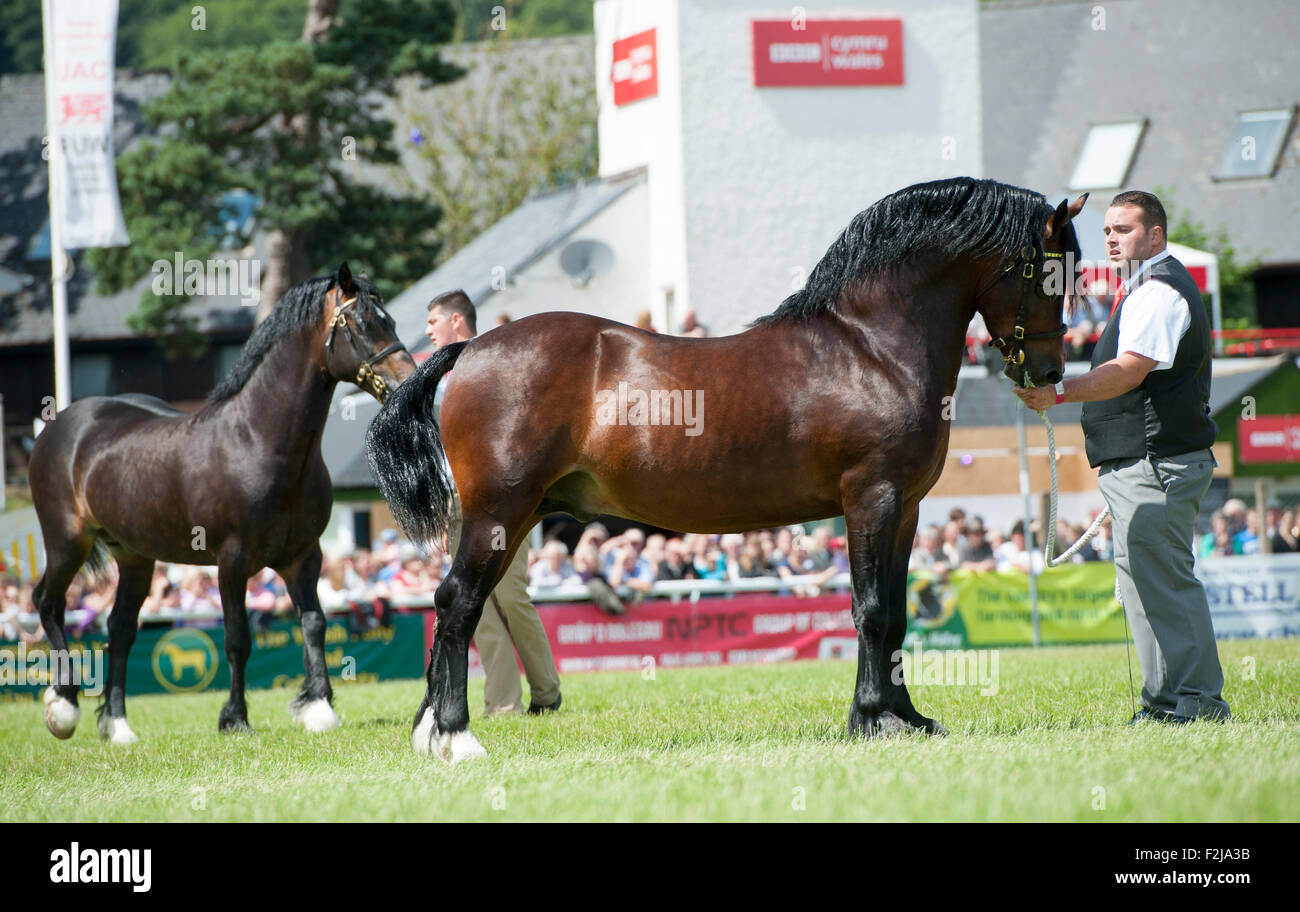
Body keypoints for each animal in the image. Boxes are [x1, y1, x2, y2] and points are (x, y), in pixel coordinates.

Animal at [30, 262, 413, 743]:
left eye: (391, 320)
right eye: (361, 324)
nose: (407, 382)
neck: (257, 440)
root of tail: (59, 426)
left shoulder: (304, 557)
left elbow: (315, 622)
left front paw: (317, 707)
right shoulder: (232, 562)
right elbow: (237, 639)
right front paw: (235, 717)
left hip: (134, 556)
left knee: (119, 629)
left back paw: (118, 726)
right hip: (66, 542)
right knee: (48, 602)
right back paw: (62, 706)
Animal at [366, 179, 1086, 763]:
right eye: (1051, 276)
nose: (1050, 373)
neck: (869, 349)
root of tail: (468, 351)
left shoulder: (906, 508)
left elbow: (899, 614)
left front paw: (906, 716)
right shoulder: (870, 498)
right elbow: (873, 610)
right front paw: (868, 719)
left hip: (514, 517)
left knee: (453, 604)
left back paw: (430, 731)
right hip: (499, 512)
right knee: (458, 603)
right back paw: (456, 738)